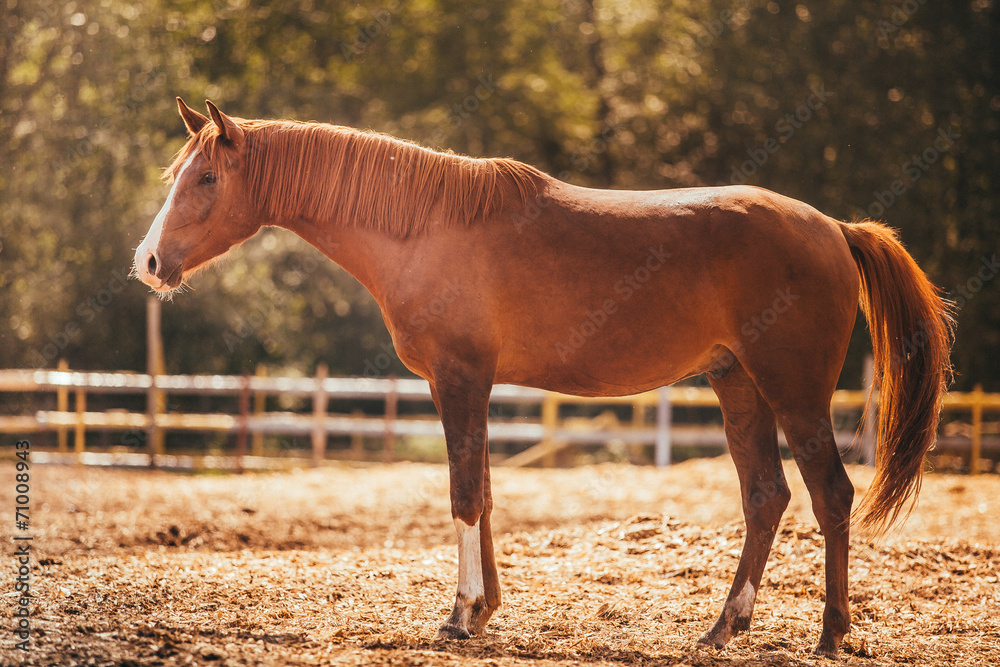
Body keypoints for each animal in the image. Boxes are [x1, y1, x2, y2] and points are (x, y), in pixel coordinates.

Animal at [133, 98, 954, 657]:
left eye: (206, 177)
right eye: (175, 174)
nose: (148, 262)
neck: (425, 226)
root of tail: (836, 230)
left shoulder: (460, 380)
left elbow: (464, 493)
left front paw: (458, 615)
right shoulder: (471, 386)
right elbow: (486, 491)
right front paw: (485, 609)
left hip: (793, 391)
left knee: (830, 495)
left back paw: (830, 633)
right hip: (738, 384)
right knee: (766, 498)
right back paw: (723, 626)